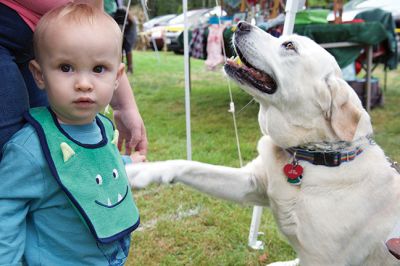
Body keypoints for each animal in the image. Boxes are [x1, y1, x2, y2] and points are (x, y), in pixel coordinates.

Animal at [126, 21, 400, 264]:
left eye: (289, 45)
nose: (240, 24)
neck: (309, 156)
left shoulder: (320, 259)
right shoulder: (250, 184)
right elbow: (189, 164)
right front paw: (140, 171)